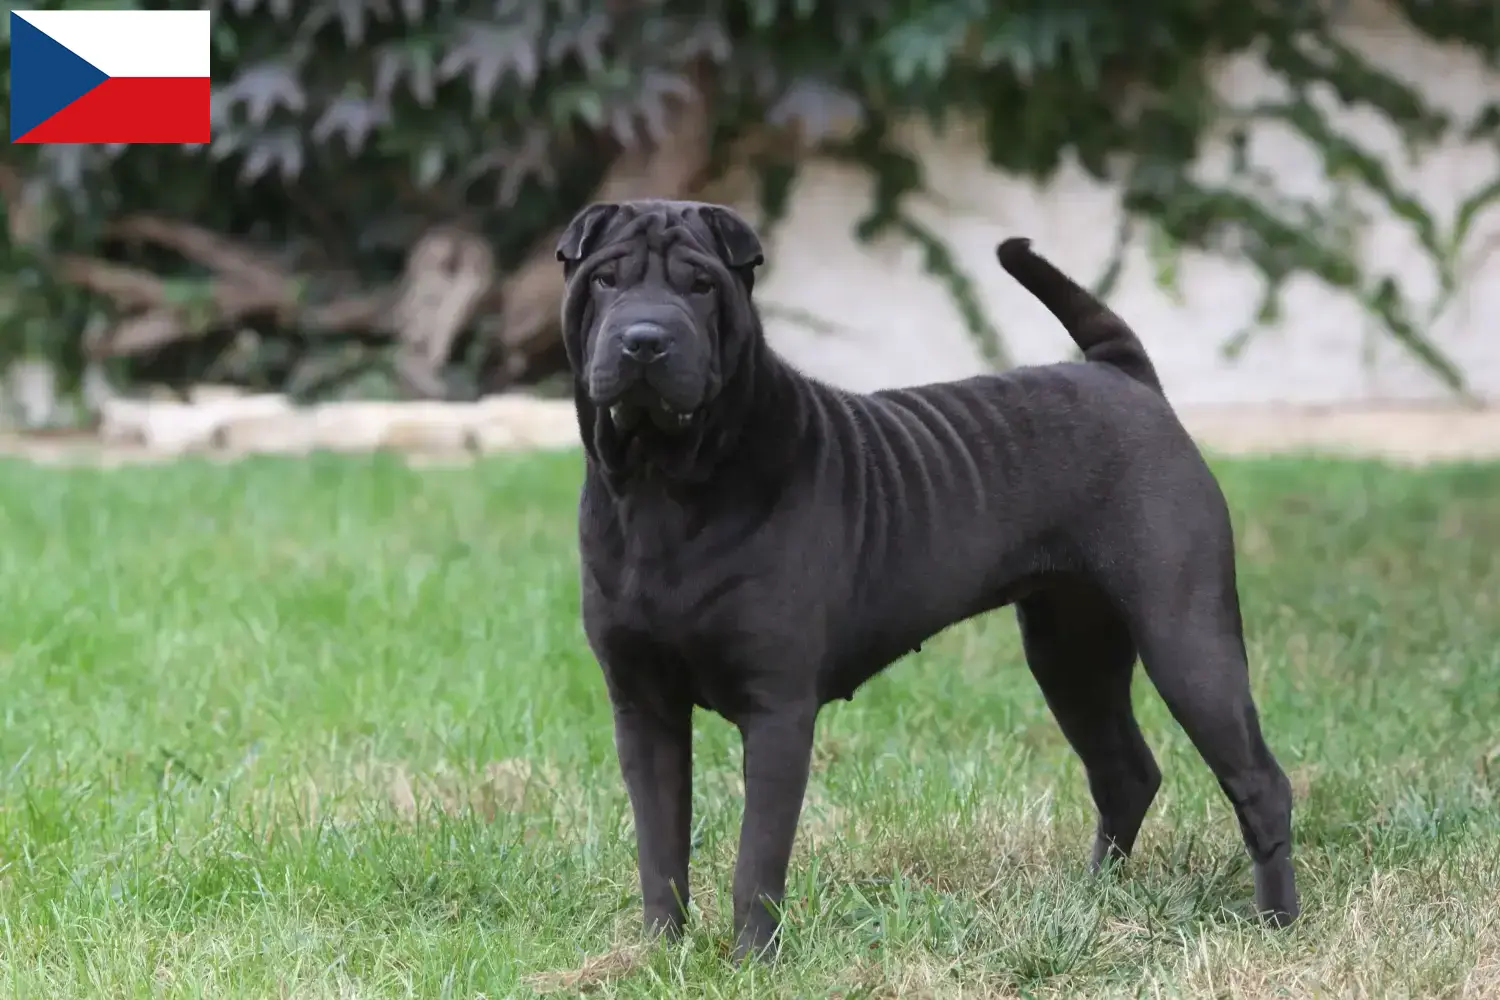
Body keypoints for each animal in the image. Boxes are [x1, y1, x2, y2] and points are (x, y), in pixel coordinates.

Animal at [558, 197, 1296, 959]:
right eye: (606, 278)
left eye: (701, 285)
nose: (645, 339)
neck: (662, 487)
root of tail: (1126, 377)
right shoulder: (643, 707)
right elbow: (660, 849)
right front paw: (658, 955)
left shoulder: (777, 709)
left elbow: (755, 860)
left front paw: (752, 962)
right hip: (1069, 652)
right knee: (1125, 772)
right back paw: (1094, 898)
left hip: (1186, 643)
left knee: (1259, 782)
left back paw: (1275, 921)